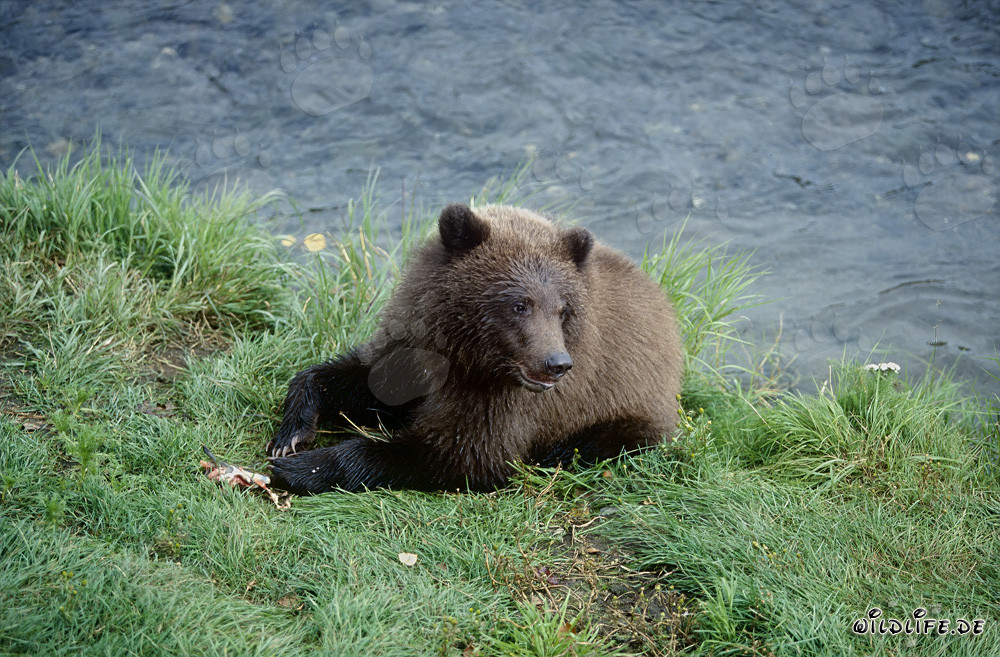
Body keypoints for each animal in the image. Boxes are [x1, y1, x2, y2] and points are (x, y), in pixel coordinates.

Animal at [266, 203, 683, 494]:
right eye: (520, 305)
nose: (557, 363)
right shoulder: (413, 348)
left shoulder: (504, 404)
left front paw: (301, 468)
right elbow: (361, 379)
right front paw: (291, 436)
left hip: (626, 412)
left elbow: (459, 456)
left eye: (563, 309)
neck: (466, 355)